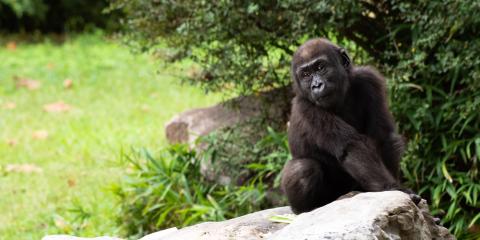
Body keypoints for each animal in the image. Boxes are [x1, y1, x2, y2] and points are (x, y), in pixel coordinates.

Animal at [280, 38, 418, 214]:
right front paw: (393, 188)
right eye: (305, 75)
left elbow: (383, 137)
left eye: (320, 67)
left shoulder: (369, 79)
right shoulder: (305, 107)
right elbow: (351, 145)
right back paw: (308, 209)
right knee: (302, 168)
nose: (316, 85)